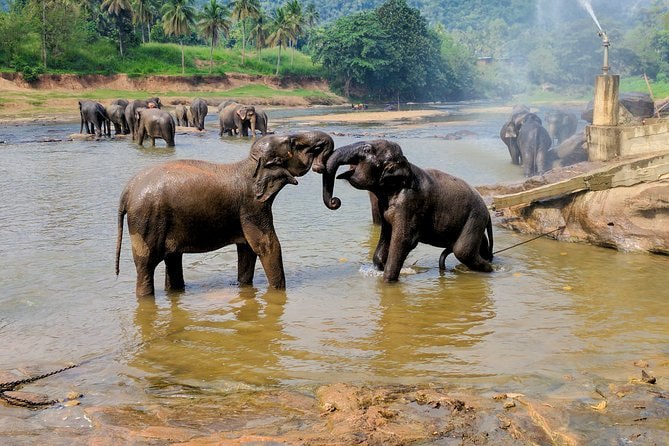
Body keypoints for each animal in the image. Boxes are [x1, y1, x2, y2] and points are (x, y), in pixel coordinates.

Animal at [115, 131, 335, 296]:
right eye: (293, 143)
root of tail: (126, 191)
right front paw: (278, 292)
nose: (319, 165)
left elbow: (247, 249)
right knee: (146, 266)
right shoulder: (251, 206)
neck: (249, 164)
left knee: (173, 259)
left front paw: (244, 288)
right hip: (146, 221)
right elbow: (267, 246)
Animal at [321, 140, 494, 282]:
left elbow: (404, 240)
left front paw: (387, 282)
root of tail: (487, 212)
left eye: (367, 149)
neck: (405, 164)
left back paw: (489, 270)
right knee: (479, 247)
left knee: (463, 252)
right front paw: (378, 268)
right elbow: (386, 235)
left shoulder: (410, 203)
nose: (335, 201)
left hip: (474, 218)